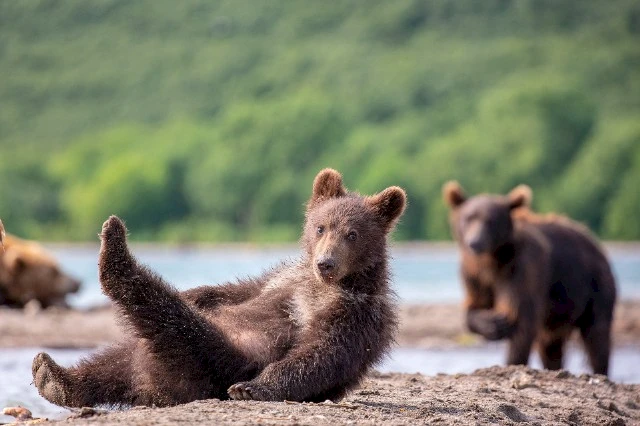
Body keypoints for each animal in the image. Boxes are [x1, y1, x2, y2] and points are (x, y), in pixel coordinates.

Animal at [32, 169, 408, 406]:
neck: (328, 284)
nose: (326, 263)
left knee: (172, 323)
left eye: (352, 234)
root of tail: (154, 386)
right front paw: (194, 293)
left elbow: (319, 353)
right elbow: (240, 290)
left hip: (217, 358)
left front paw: (252, 388)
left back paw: (114, 251)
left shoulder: (354, 311)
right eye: (320, 227)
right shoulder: (285, 278)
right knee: (117, 360)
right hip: (158, 359)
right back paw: (54, 377)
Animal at [442, 181, 616, 374]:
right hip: (558, 311)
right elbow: (475, 306)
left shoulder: (521, 268)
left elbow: (522, 320)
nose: (475, 242)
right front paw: (493, 324)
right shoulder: (475, 275)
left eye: (490, 221)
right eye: (469, 218)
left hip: (594, 286)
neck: (492, 259)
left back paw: (600, 370)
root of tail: (596, 244)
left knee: (597, 335)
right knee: (551, 346)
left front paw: (512, 361)